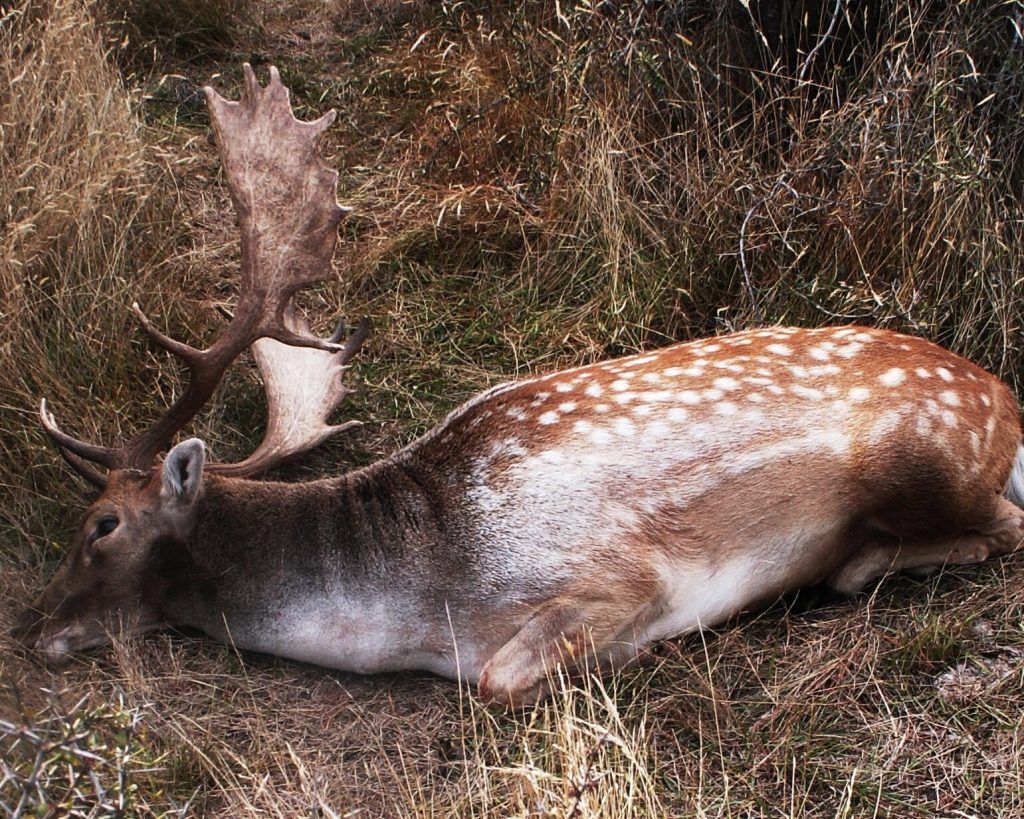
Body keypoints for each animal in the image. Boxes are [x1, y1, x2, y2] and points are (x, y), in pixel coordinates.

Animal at [12, 65, 1024, 704]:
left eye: (101, 524)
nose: (31, 626)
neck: (424, 606)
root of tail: (1001, 398)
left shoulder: (621, 576)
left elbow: (504, 679)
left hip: (924, 456)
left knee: (997, 528)